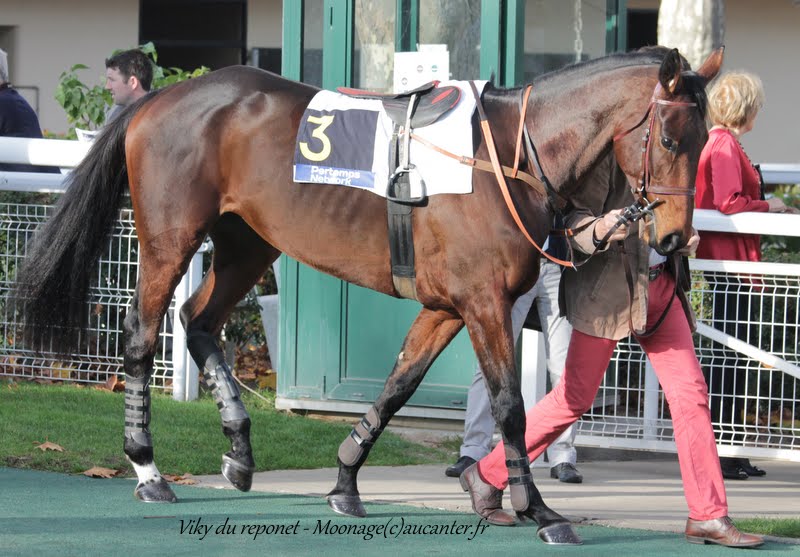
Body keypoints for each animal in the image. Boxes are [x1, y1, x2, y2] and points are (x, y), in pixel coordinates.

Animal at [17, 47, 720, 544]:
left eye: (706, 141)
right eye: (671, 139)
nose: (674, 237)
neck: (507, 158)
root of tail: (160, 97)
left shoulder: (446, 306)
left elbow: (397, 387)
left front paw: (346, 479)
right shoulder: (484, 303)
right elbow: (509, 406)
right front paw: (538, 508)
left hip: (248, 243)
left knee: (198, 320)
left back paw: (239, 451)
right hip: (170, 238)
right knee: (142, 333)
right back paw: (147, 468)